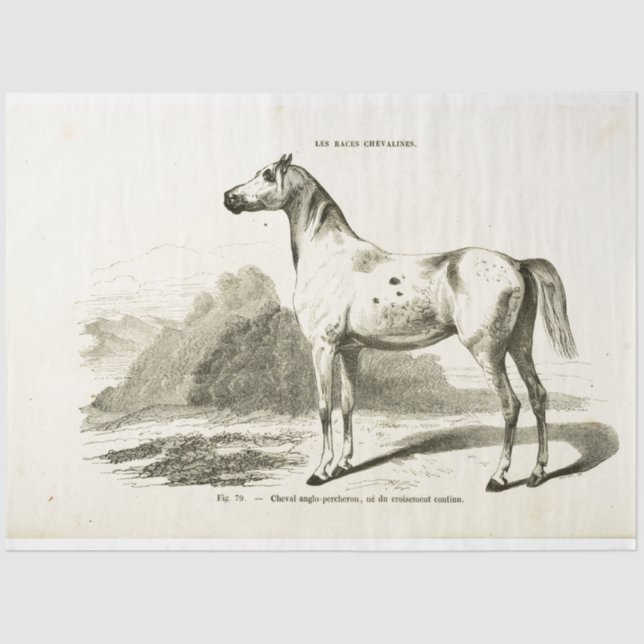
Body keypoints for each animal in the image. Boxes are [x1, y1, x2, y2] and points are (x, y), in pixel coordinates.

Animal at [224, 154, 577, 492]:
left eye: (268, 175)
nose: (230, 197)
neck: (329, 258)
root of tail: (516, 264)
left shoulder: (322, 348)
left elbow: (324, 407)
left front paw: (321, 470)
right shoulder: (349, 351)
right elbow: (348, 404)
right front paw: (343, 464)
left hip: (488, 352)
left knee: (511, 405)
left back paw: (499, 477)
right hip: (519, 345)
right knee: (538, 396)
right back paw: (537, 472)